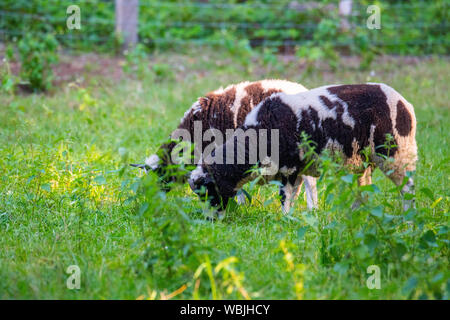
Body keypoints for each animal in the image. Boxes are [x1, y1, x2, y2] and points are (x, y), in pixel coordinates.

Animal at [190, 82, 418, 214]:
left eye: (208, 192)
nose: (211, 221)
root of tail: (406, 105)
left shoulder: (289, 168)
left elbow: (285, 197)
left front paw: (285, 220)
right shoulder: (297, 169)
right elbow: (293, 196)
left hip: (396, 153)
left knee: (407, 188)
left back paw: (407, 219)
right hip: (361, 160)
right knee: (364, 190)